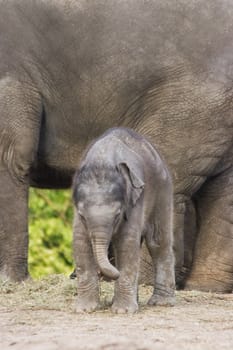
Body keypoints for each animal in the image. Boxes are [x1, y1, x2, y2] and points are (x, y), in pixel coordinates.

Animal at [0, 0, 233, 292]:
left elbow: (11, 155)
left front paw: (9, 282)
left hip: (192, 103)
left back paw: (140, 281)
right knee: (222, 193)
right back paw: (203, 286)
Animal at [73, 127, 175, 314]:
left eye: (117, 215)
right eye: (82, 215)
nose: (108, 273)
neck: (102, 160)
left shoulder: (134, 201)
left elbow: (126, 243)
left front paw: (123, 312)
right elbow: (80, 242)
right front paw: (83, 310)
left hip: (163, 189)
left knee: (158, 242)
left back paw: (161, 303)